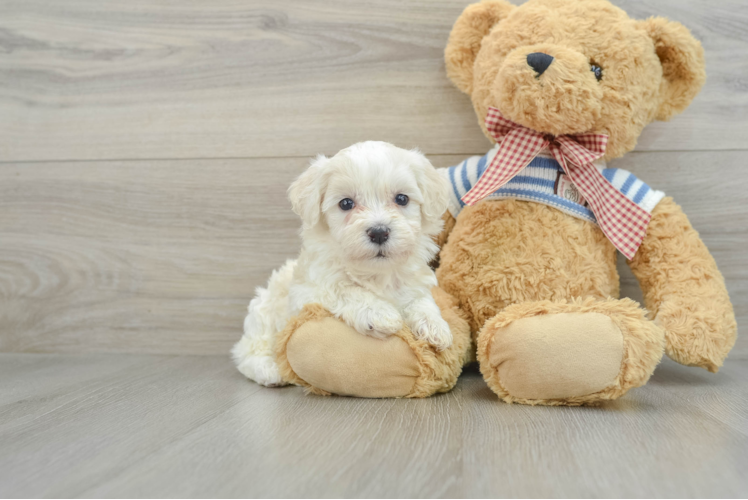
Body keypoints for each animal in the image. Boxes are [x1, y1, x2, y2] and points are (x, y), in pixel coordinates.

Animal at [234, 141, 452, 386]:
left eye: (402, 199)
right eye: (346, 203)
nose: (379, 232)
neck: (376, 273)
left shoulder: (413, 282)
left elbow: (421, 300)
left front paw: (435, 326)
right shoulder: (307, 291)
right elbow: (345, 288)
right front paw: (379, 314)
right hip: (263, 311)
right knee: (247, 350)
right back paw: (269, 369)